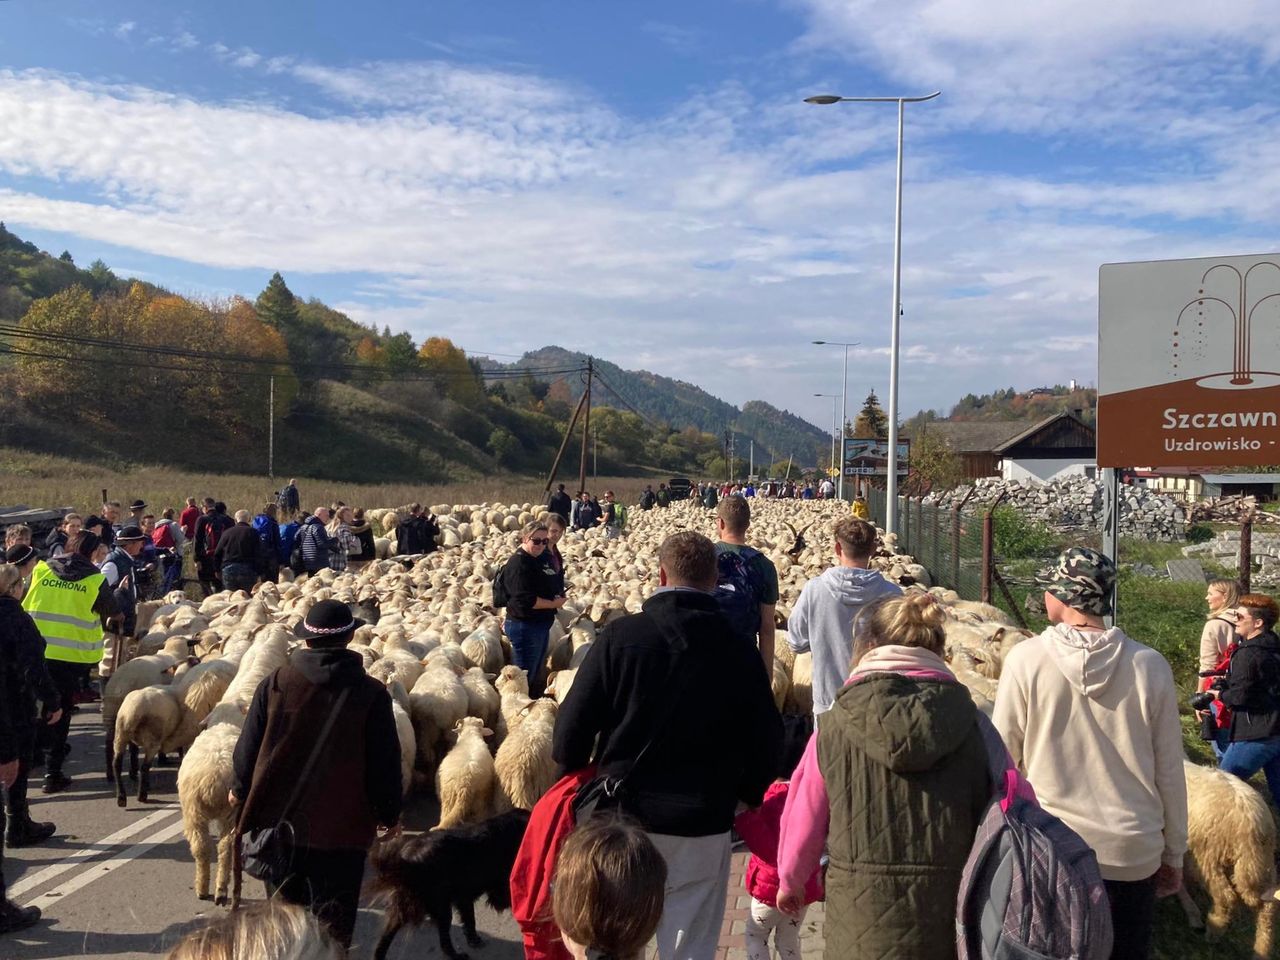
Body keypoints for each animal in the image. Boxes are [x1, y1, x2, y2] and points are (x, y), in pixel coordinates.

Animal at [371, 814, 529, 960]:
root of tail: (410, 861)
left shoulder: (465, 896)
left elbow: (469, 918)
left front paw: (473, 939)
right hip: (441, 908)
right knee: (444, 939)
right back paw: (456, 955)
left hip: (406, 907)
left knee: (387, 934)